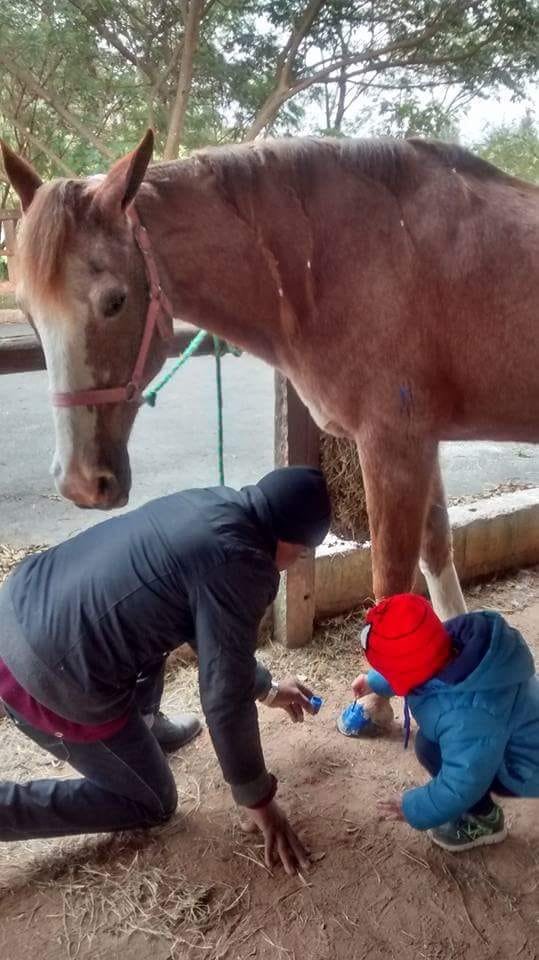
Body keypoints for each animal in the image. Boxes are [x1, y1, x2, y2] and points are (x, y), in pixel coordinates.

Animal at [2, 132, 538, 638]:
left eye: (115, 301)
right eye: (27, 310)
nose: (80, 481)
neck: (357, 257)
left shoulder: (395, 449)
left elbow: (391, 593)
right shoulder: (420, 443)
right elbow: (438, 561)